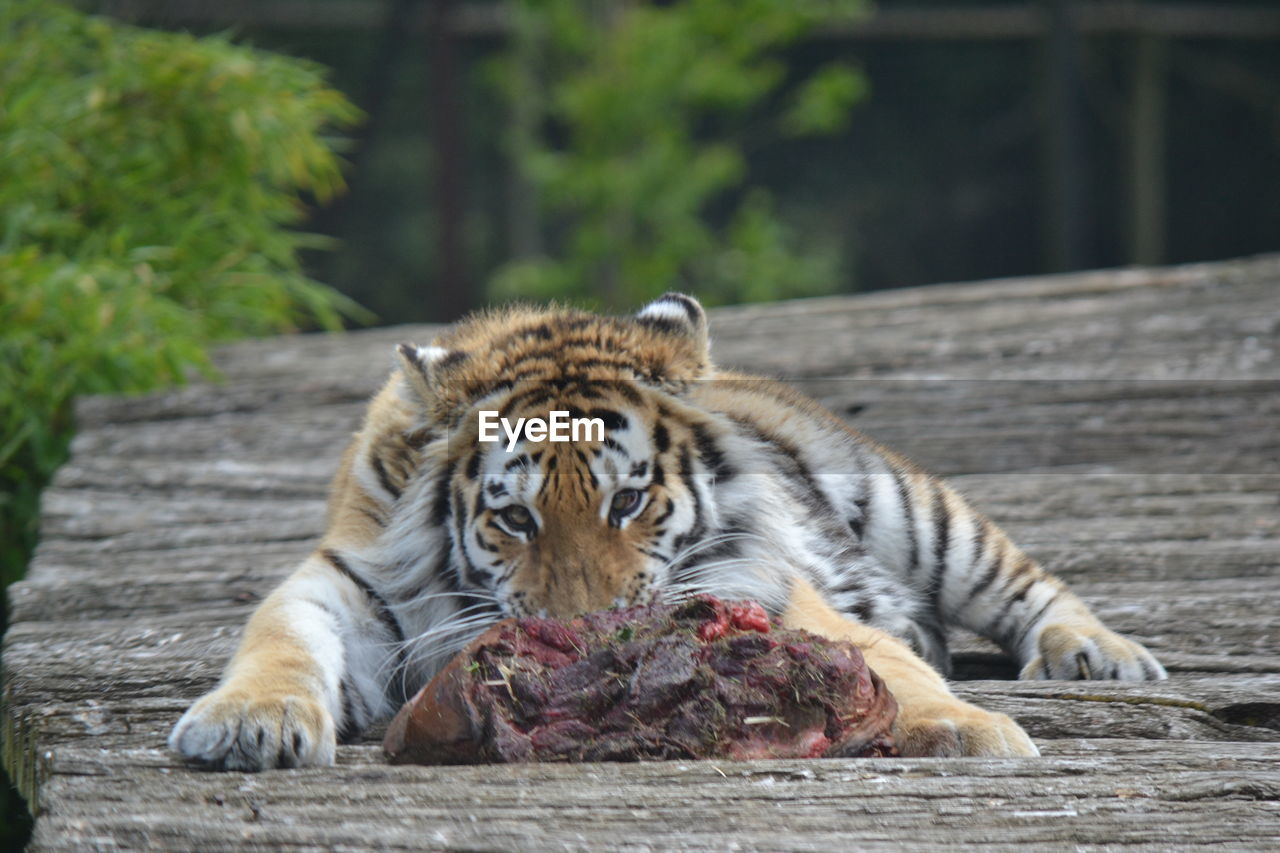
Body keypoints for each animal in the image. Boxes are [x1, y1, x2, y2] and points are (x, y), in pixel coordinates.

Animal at [172, 292, 1172, 768]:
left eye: (626, 502)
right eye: (514, 517)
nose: (585, 634)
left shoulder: (783, 591)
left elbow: (892, 665)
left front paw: (976, 731)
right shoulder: (343, 583)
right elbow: (279, 642)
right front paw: (249, 724)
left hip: (911, 506)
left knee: (1026, 583)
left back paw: (1099, 654)